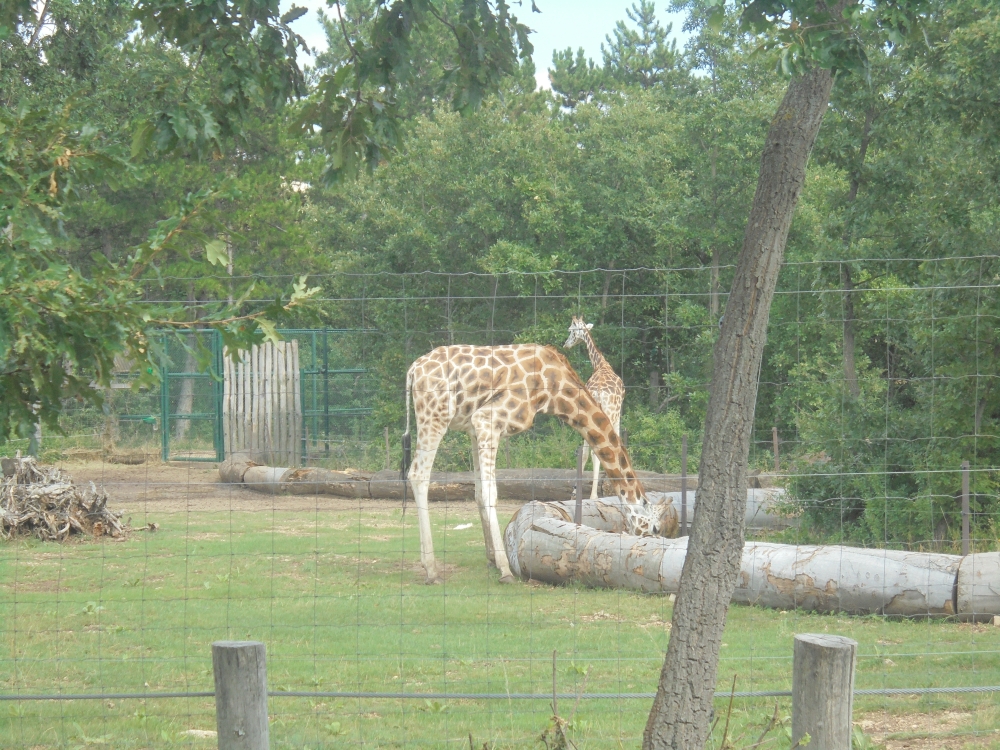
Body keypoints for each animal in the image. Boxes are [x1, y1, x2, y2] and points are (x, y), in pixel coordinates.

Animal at [398, 344, 664, 584]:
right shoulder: (487, 420)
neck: (556, 390)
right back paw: (431, 570)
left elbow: (478, 491)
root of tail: (413, 370)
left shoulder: (474, 429)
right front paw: (505, 569)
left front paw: (492, 559)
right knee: (418, 475)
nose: (643, 550)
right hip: (435, 416)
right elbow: (490, 493)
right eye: (654, 529)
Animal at [568, 316, 620, 500]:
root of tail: (598, 394)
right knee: (597, 451)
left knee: (586, 452)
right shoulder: (618, 416)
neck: (601, 364)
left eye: (570, 330)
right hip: (607, 416)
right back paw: (593, 496)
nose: (566, 344)